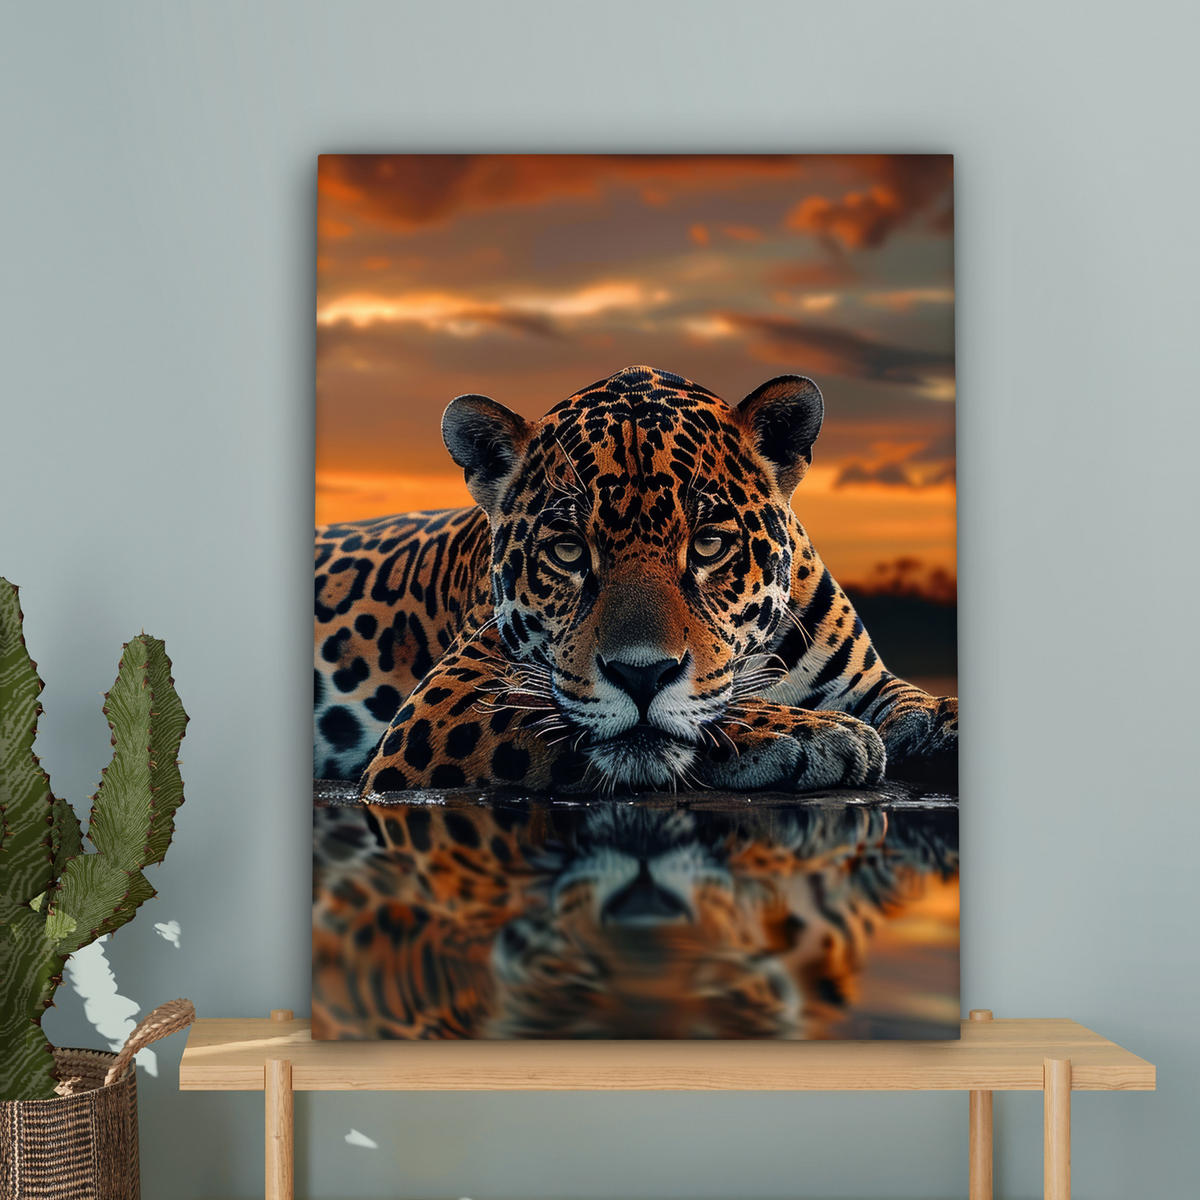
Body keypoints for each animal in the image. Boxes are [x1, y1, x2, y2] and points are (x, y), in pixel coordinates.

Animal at [314, 365, 957, 795]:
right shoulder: (443, 703)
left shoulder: (864, 678)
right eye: (569, 551)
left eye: (709, 544)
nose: (641, 676)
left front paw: (938, 722)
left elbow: (905, 694)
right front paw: (812, 732)